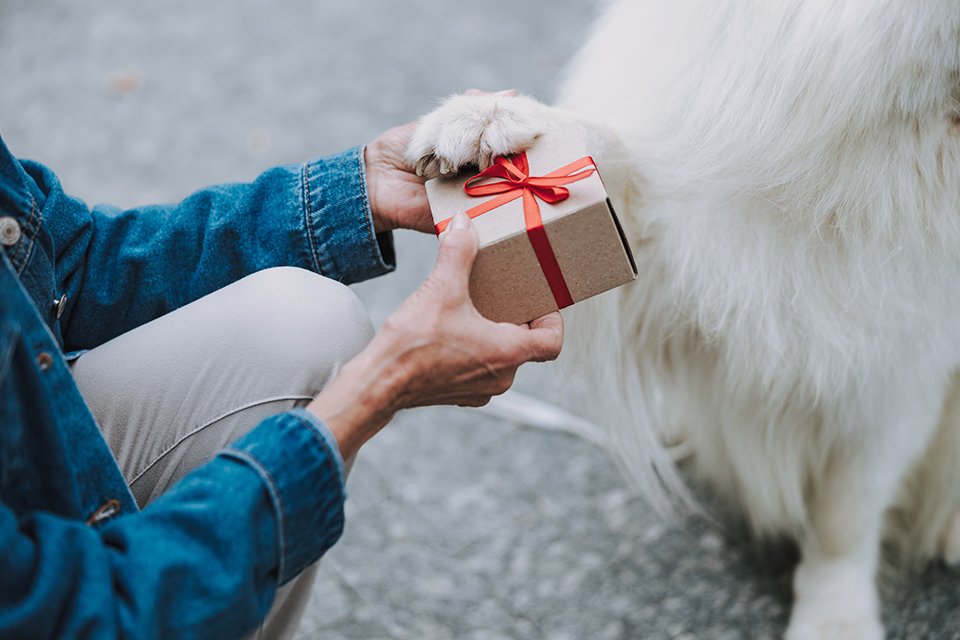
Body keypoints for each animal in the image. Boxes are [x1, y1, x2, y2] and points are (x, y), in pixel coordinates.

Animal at [408, 2, 960, 636]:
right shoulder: (686, 224)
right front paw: (484, 119)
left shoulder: (901, 377)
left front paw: (834, 617)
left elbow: (846, 517)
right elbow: (607, 152)